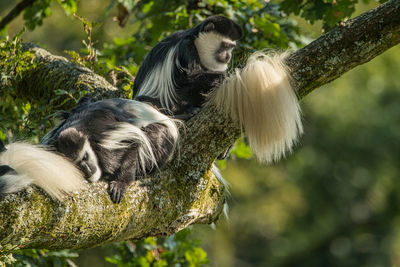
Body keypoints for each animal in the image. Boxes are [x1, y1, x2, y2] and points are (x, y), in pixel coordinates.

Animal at [0, 98, 178, 203]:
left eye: (85, 157)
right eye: (77, 165)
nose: (87, 168)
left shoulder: (106, 146)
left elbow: (132, 145)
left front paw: (120, 183)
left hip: (163, 139)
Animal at [133, 16, 302, 164]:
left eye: (232, 48)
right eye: (225, 46)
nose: (228, 56)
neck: (197, 42)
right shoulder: (186, 47)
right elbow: (185, 80)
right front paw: (230, 73)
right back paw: (184, 114)